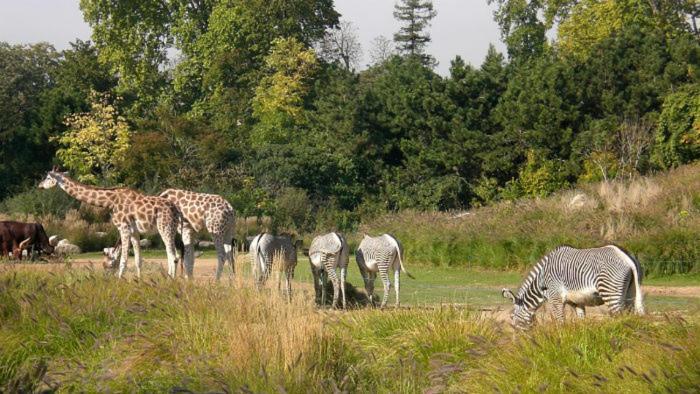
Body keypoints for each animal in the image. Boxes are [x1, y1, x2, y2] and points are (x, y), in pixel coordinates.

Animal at [38, 168, 182, 278]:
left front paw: (119, 281)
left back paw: (170, 279)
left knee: (173, 255)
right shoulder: (134, 231)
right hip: (171, 230)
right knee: (174, 254)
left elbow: (123, 260)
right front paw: (139, 280)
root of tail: (176, 210)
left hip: (165, 228)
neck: (110, 201)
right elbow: (137, 260)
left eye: (48, 177)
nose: (39, 185)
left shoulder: (123, 228)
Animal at [504, 245, 644, 328]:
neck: (541, 280)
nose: (518, 342)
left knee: (620, 318)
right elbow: (581, 321)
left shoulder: (555, 298)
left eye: (512, 317)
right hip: (630, 294)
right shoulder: (577, 302)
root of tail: (625, 256)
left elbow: (560, 323)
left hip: (611, 292)